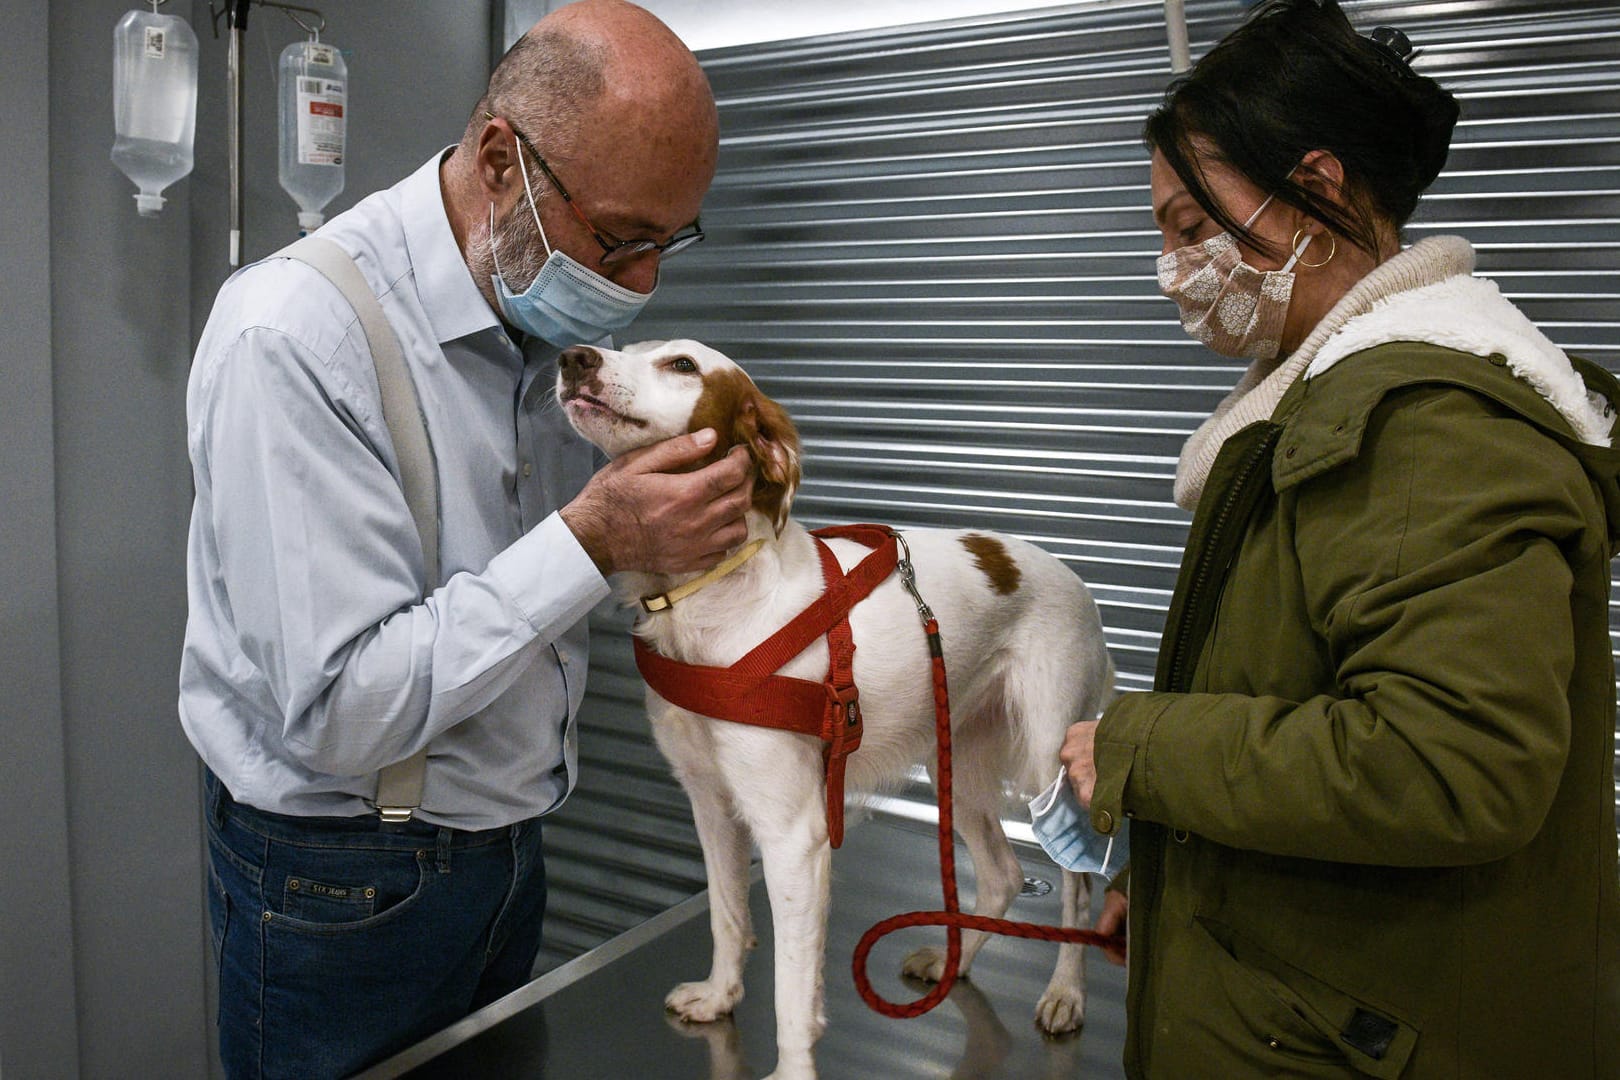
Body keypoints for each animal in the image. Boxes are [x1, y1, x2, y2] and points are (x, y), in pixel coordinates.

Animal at [560, 340, 1114, 1080]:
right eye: (626, 347)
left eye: (682, 365)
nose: (573, 358)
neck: (715, 596)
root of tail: (1078, 581)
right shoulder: (710, 801)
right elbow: (727, 915)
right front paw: (719, 995)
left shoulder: (793, 834)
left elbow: (792, 987)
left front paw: (793, 1068)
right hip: (955, 759)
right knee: (1002, 876)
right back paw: (953, 964)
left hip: (1045, 759)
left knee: (1078, 886)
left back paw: (1065, 993)